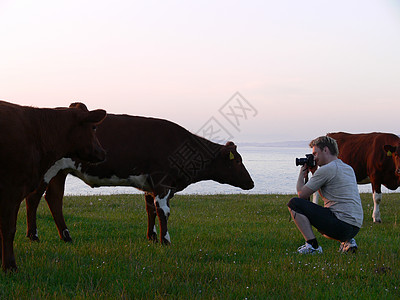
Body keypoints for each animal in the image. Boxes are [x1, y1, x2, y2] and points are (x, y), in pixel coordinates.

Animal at [25, 111, 256, 245]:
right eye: (237, 161)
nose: (251, 183)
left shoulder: (150, 183)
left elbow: (150, 208)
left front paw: (152, 237)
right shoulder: (162, 181)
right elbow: (163, 210)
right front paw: (165, 240)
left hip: (59, 171)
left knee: (54, 199)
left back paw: (66, 236)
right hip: (49, 169)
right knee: (34, 198)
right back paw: (33, 235)